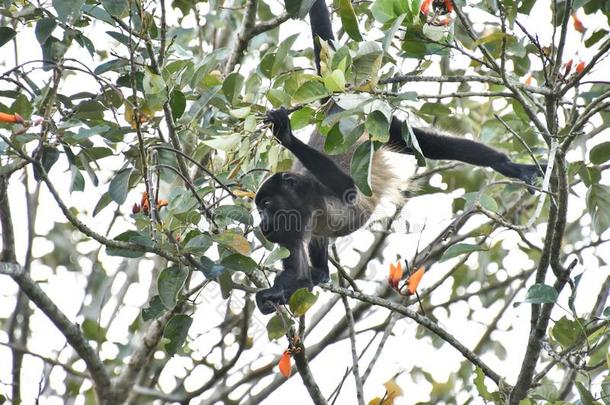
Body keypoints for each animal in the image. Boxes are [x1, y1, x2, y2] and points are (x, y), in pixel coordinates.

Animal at [252, 0, 540, 312]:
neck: (302, 204)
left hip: (378, 125)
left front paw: (285, 135)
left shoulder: (310, 190)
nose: (261, 224)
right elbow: (297, 271)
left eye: (266, 204)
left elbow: (349, 189)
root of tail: (338, 105)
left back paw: (505, 164)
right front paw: (276, 293)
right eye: (259, 209)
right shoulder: (291, 229)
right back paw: (321, 275)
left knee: (423, 143)